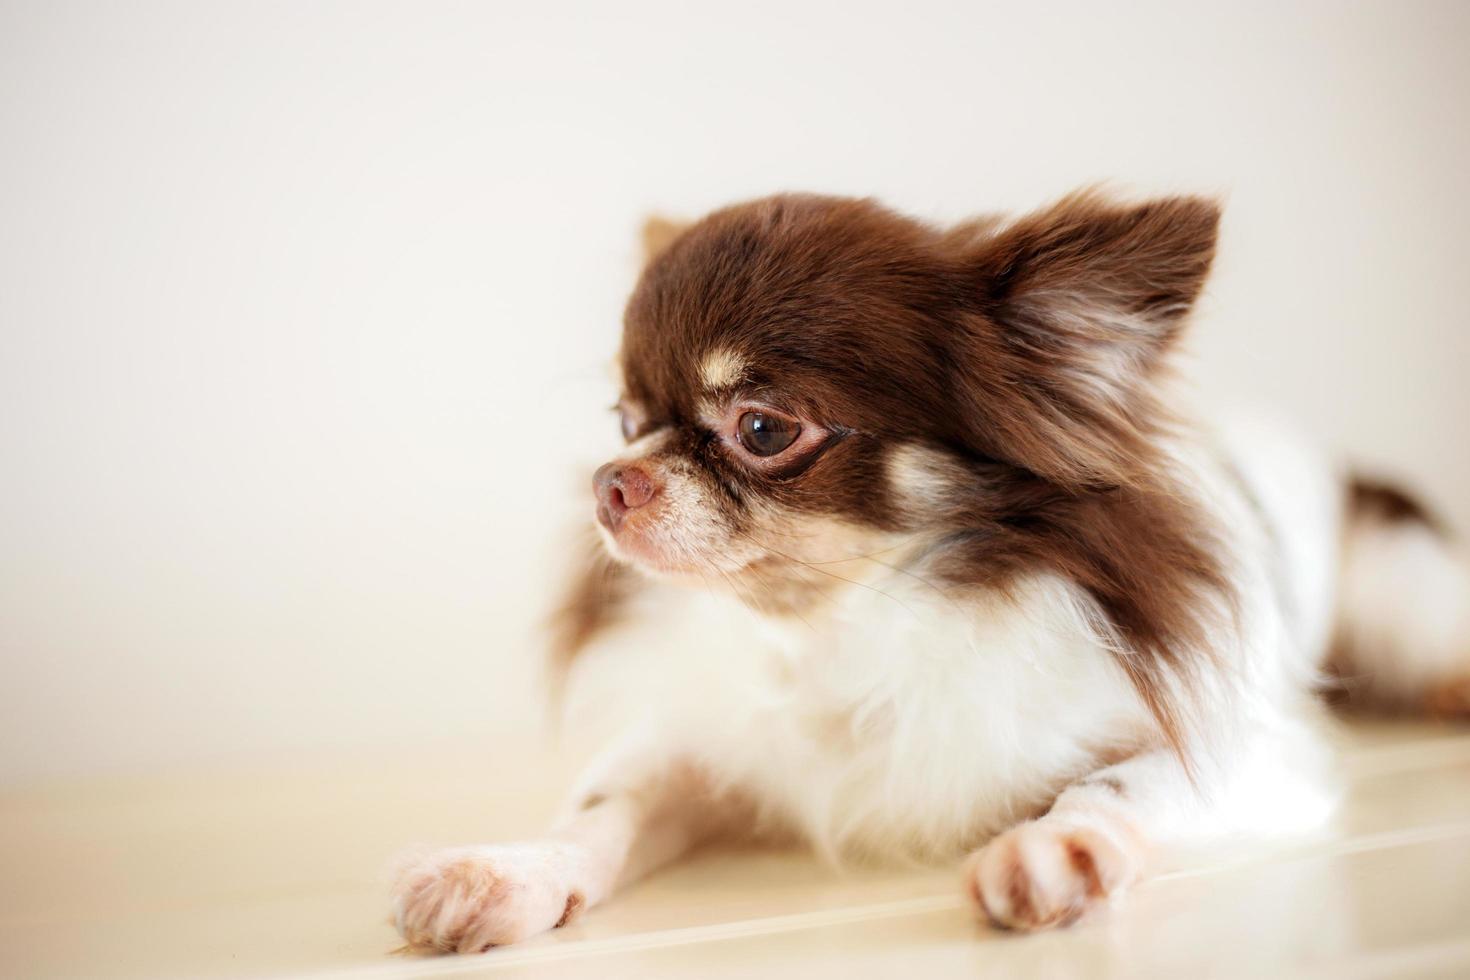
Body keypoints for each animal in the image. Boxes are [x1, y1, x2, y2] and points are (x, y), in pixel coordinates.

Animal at [385, 189, 1464, 952]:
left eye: (763, 429)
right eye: (622, 421)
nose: (611, 481)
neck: (838, 625)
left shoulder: (1245, 749)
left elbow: (1122, 785)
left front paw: (1054, 844)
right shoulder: (700, 750)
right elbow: (603, 809)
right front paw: (507, 871)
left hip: (1406, 603)